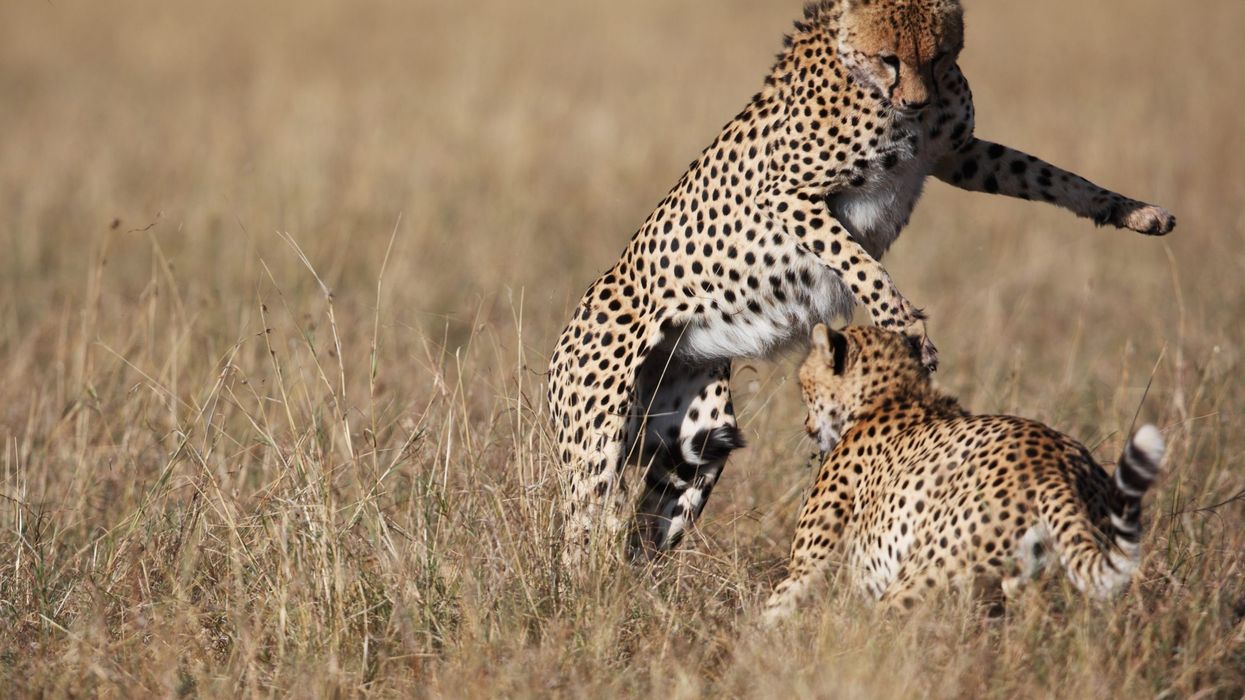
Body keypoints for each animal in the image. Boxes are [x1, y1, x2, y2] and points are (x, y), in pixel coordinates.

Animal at [546, 0, 1175, 567]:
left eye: (939, 54)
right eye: (888, 58)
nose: (917, 101)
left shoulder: (960, 154)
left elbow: (1050, 174)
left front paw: (1135, 213)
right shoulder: (788, 196)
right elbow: (855, 259)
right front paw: (907, 329)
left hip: (700, 438)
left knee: (647, 525)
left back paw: (641, 590)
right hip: (597, 442)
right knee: (583, 532)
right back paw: (591, 597)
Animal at [762, 324, 1166, 622]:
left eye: (804, 384)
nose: (805, 425)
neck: (889, 396)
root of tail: (1053, 462)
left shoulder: (809, 568)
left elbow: (773, 612)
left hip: (921, 575)